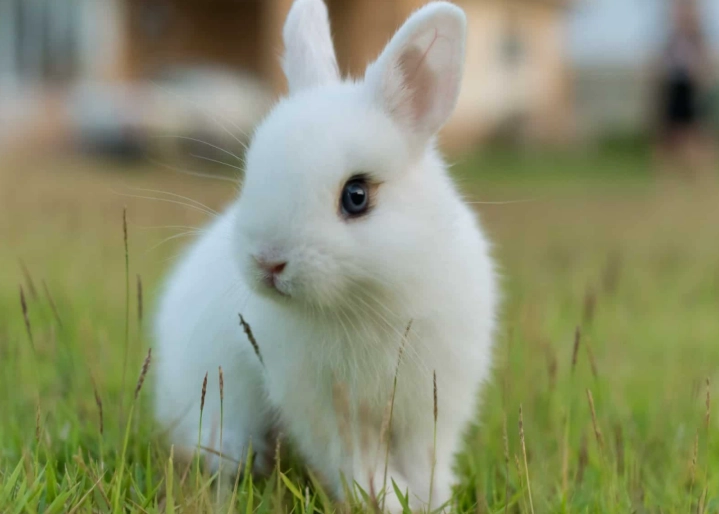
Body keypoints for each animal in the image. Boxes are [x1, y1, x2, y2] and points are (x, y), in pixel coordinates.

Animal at [152, 0, 498, 511]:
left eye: (356, 196)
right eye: (251, 173)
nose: (268, 262)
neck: (366, 303)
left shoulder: (432, 406)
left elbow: (425, 463)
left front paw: (431, 503)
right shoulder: (325, 412)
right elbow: (359, 465)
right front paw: (388, 502)